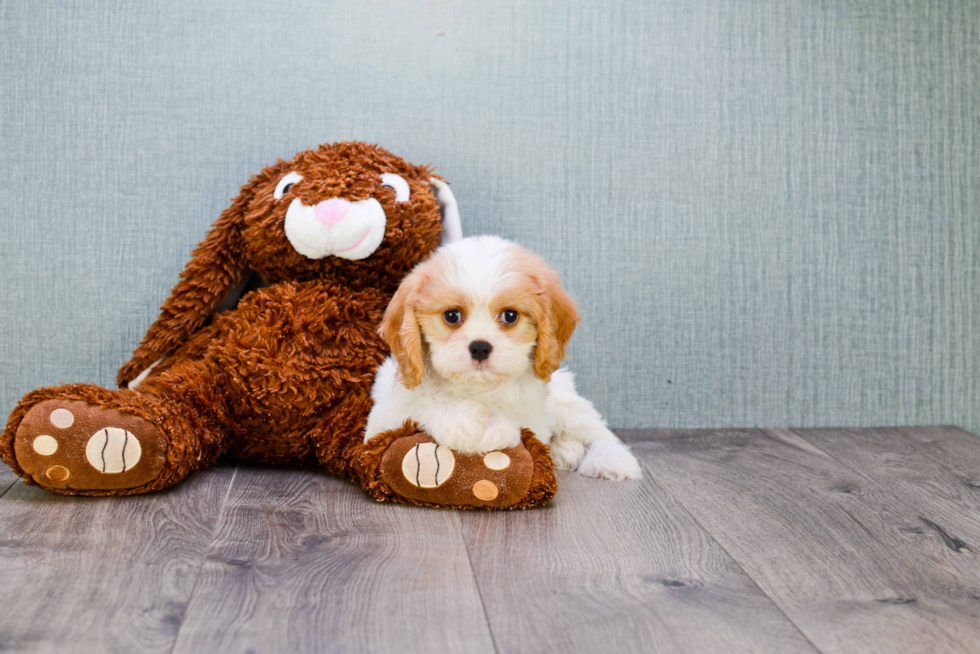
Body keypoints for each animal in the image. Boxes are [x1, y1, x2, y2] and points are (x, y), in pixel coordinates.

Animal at [364, 236, 640, 482]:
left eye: (510, 316)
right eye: (452, 316)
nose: (480, 348)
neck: (476, 388)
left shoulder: (533, 416)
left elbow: (514, 421)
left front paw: (492, 428)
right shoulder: (383, 421)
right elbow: (424, 405)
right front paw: (460, 422)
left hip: (565, 403)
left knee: (597, 430)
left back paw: (609, 459)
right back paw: (565, 451)